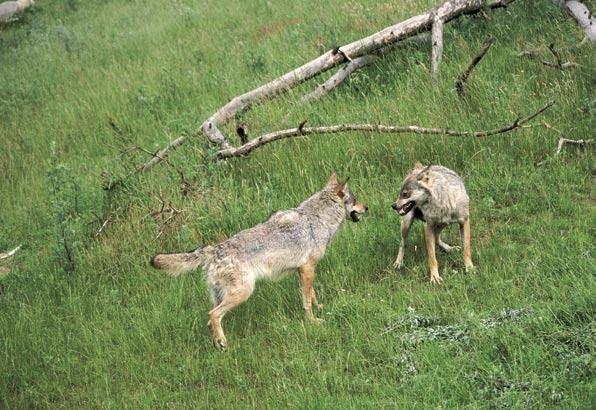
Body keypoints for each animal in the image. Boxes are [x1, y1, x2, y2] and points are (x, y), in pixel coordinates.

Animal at [151, 173, 366, 350]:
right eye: (355, 200)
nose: (367, 207)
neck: (317, 219)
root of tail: (214, 249)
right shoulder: (308, 268)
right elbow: (307, 302)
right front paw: (313, 321)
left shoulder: (303, 270)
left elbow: (311, 294)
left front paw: (320, 307)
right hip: (243, 292)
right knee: (213, 315)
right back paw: (223, 343)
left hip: (223, 295)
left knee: (210, 320)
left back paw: (218, 344)